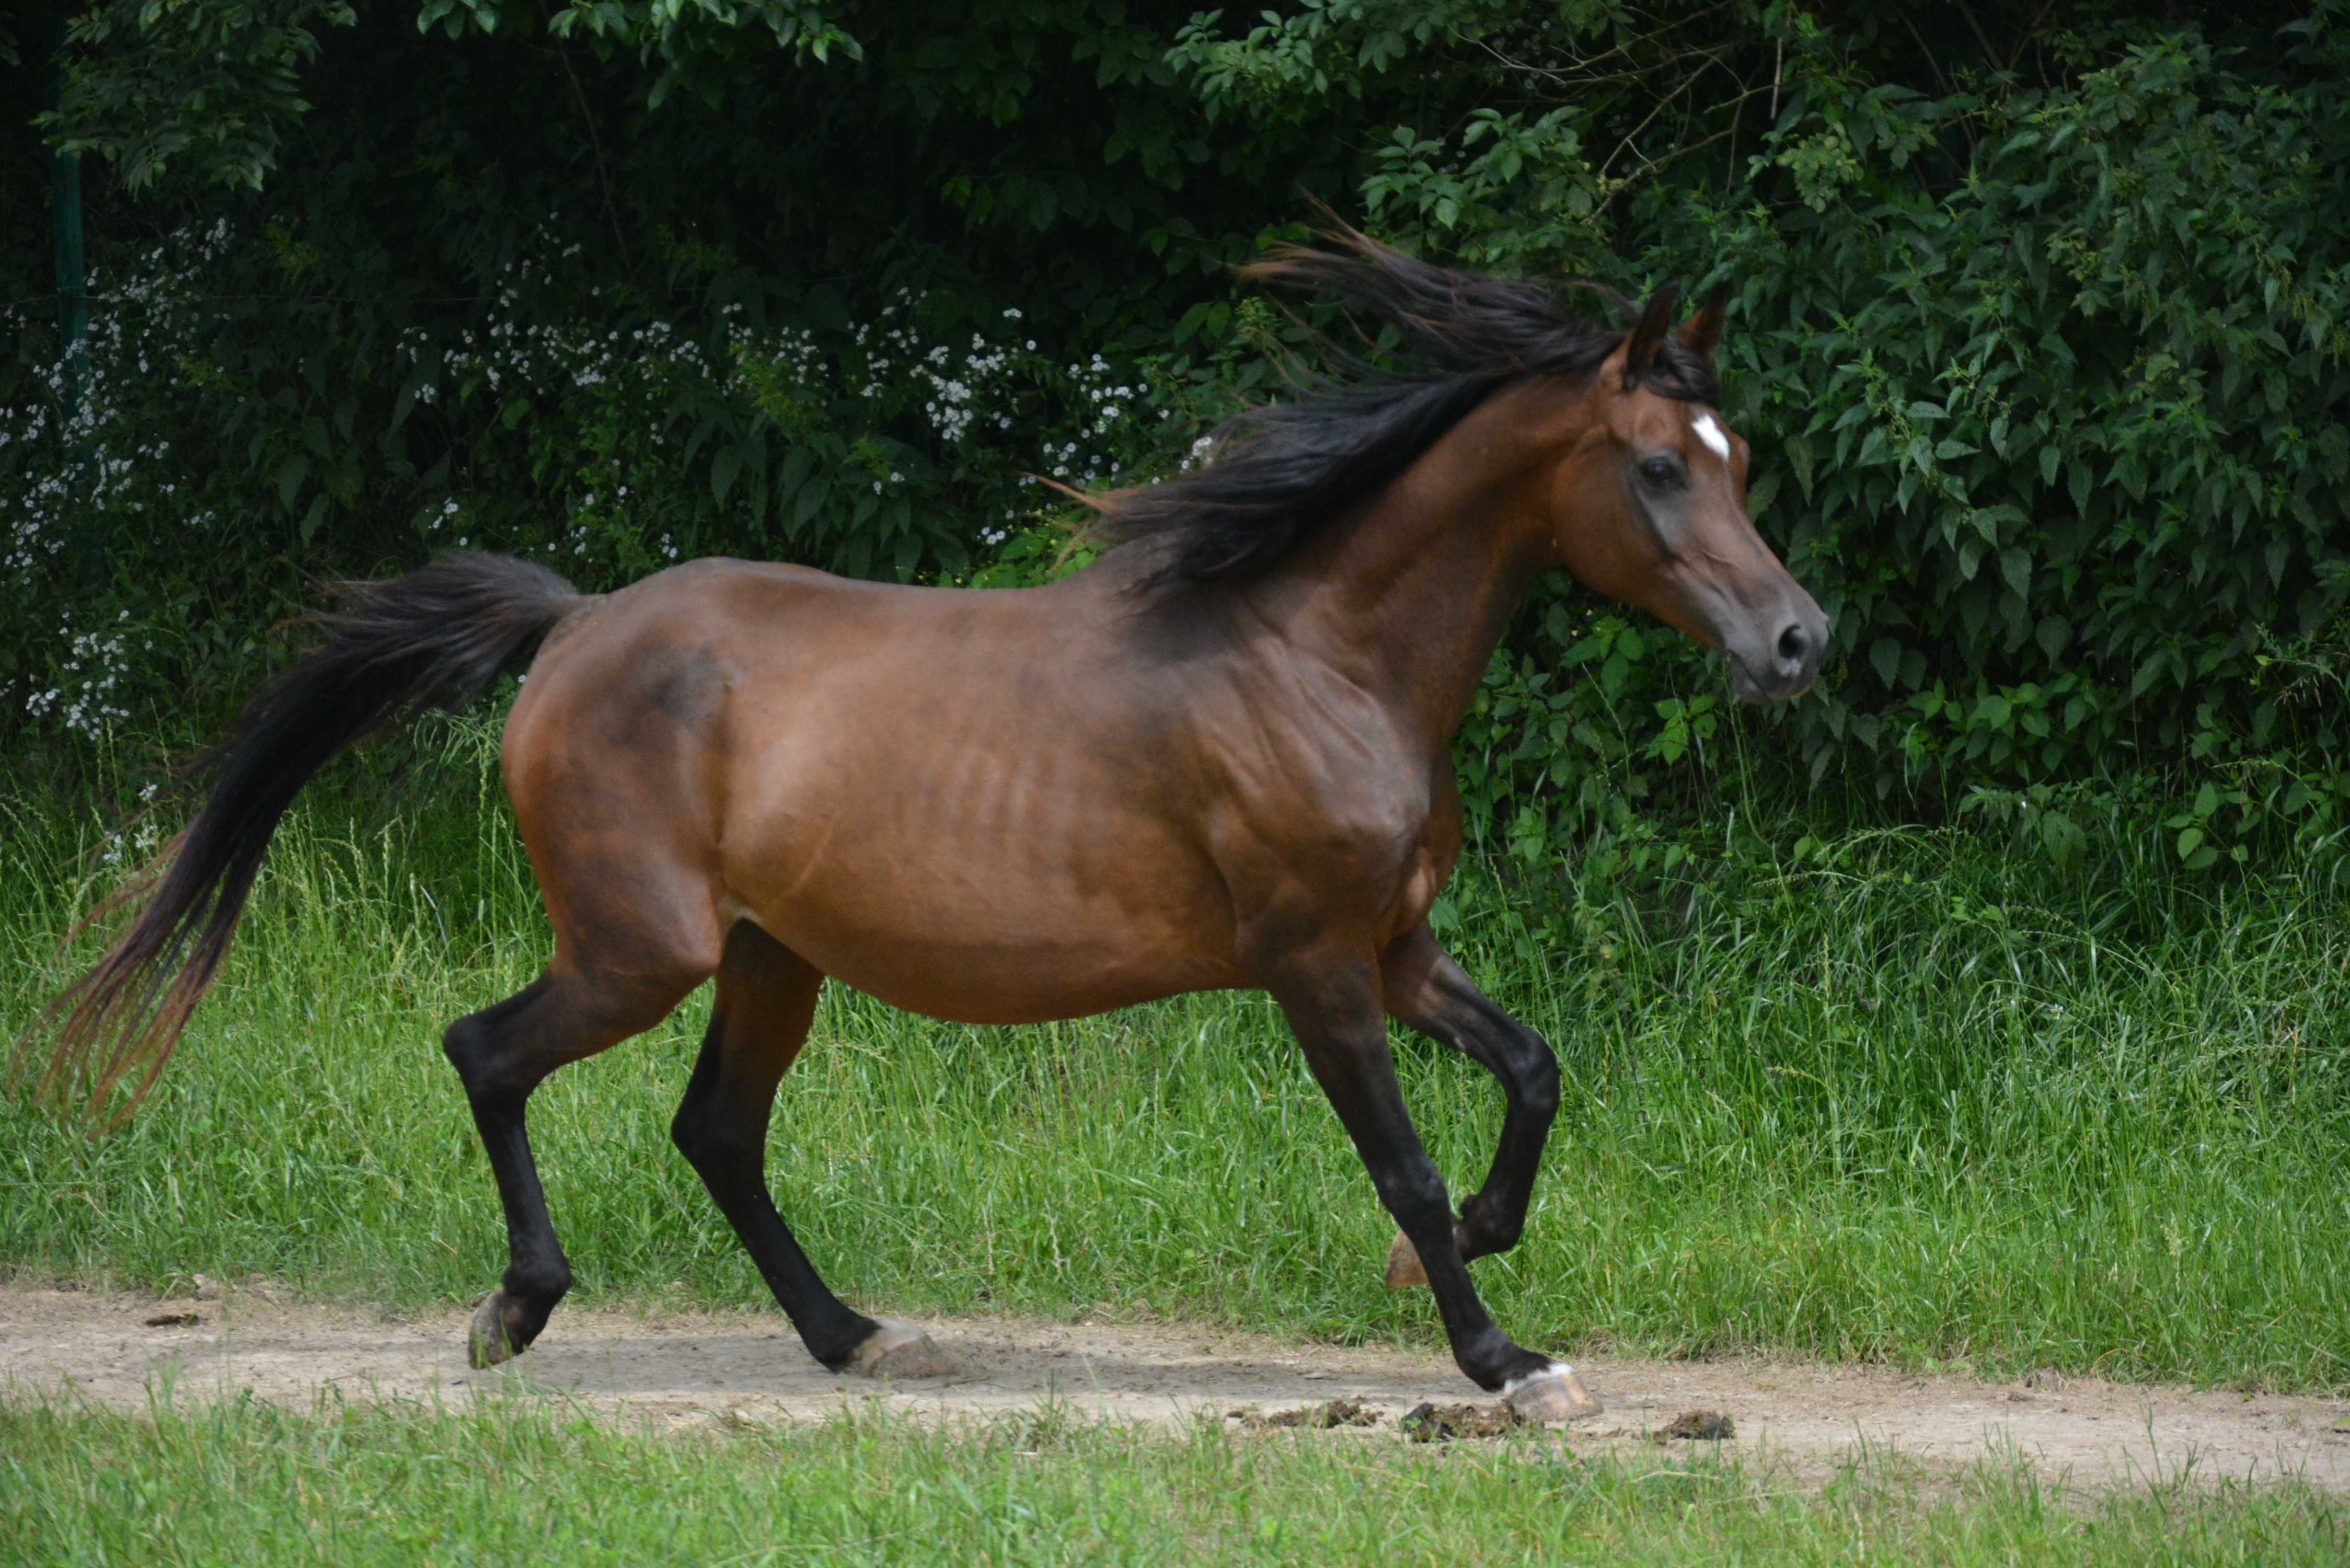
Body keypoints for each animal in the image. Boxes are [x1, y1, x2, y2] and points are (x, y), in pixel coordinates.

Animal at [41, 230, 1833, 1420]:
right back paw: (517, 1314)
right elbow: (1397, 1156)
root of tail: (571, 628)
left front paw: (1469, 1257)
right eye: (1658, 467)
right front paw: (1499, 1357)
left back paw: (857, 1338)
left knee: (716, 1132)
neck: (1316, 652)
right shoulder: (1315, 962)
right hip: (640, 950)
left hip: (770, 959)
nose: (1797, 643)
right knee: (487, 1053)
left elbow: (1532, 1074)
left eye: (1736, 455)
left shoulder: (1395, 946)